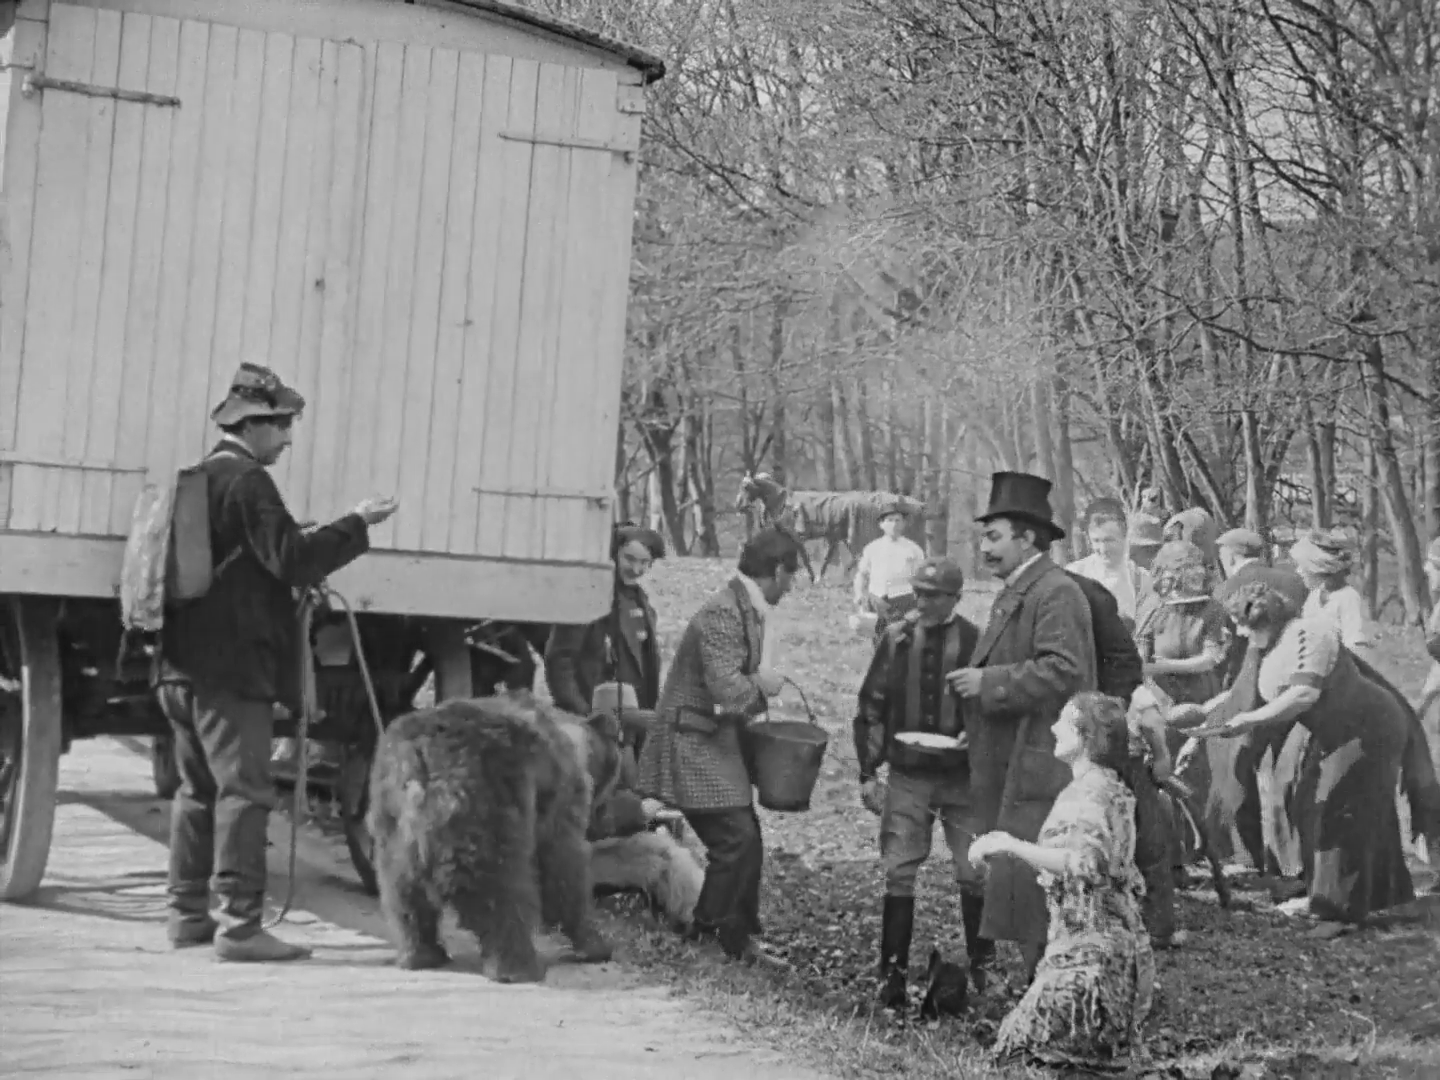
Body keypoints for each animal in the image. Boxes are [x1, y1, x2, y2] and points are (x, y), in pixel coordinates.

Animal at [365, 692, 624, 981]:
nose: (607, 819)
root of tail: (420, 761)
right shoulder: (556, 801)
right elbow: (562, 867)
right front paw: (596, 943)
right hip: (487, 801)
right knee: (502, 890)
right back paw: (519, 966)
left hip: (392, 820)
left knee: (403, 893)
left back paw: (420, 954)